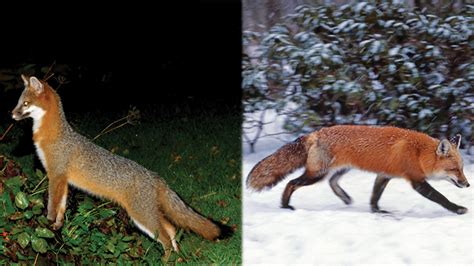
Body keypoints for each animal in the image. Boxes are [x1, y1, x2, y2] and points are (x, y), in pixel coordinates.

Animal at [12, 75, 224, 260]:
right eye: (19, 102)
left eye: (25, 104)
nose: (11, 114)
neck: (53, 135)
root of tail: (155, 176)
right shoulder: (62, 179)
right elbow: (61, 207)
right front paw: (57, 225)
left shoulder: (56, 175)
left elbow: (52, 205)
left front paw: (46, 224)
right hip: (149, 214)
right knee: (171, 230)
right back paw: (178, 258)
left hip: (141, 217)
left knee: (165, 239)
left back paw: (165, 260)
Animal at [248, 125, 470, 215]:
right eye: (454, 169)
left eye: (462, 168)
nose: (467, 184)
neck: (418, 153)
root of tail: (316, 133)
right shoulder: (416, 181)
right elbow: (441, 198)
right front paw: (458, 209)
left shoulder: (384, 175)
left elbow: (375, 196)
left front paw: (377, 211)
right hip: (316, 175)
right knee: (291, 183)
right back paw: (285, 206)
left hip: (341, 169)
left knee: (332, 182)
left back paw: (345, 198)